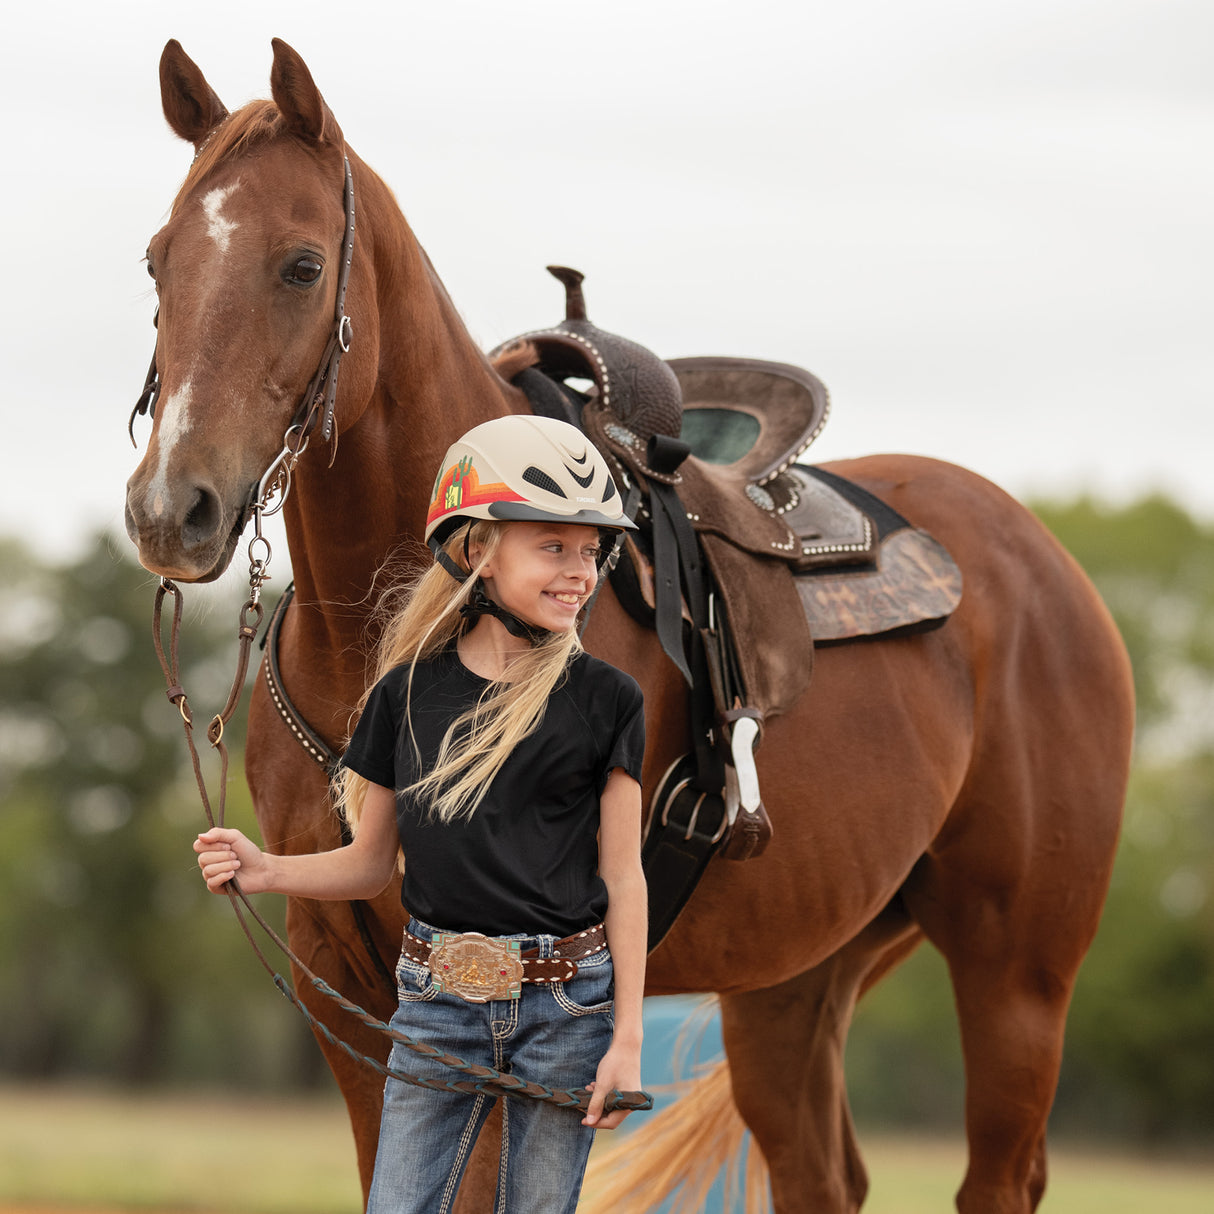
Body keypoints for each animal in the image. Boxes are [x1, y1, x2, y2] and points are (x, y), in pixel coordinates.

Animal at [125, 37, 1136, 1214]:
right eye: (158, 263)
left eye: (297, 265)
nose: (171, 509)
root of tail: (1046, 564)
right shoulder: (348, 978)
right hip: (796, 977)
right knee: (821, 1173)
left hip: (1018, 972)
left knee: (1000, 1172)